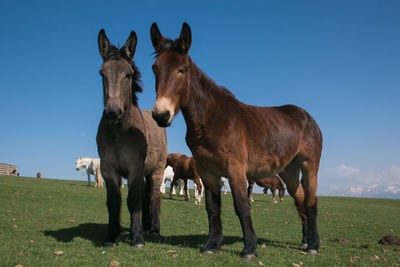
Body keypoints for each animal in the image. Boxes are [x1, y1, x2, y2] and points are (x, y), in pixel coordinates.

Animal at [96, 29, 167, 249]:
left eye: (128, 74)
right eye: (102, 73)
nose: (113, 111)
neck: (120, 134)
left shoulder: (135, 167)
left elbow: (133, 200)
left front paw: (137, 238)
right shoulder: (108, 169)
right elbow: (114, 202)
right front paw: (112, 236)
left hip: (157, 170)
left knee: (154, 196)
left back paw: (154, 229)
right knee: (146, 197)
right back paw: (146, 226)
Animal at [149, 23, 322, 260]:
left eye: (181, 70)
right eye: (155, 69)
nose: (161, 115)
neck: (213, 118)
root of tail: (307, 117)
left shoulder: (235, 169)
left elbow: (241, 206)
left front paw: (249, 249)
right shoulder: (207, 171)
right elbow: (212, 207)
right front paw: (212, 244)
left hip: (308, 166)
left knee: (311, 203)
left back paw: (314, 244)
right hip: (289, 171)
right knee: (301, 201)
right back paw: (305, 240)